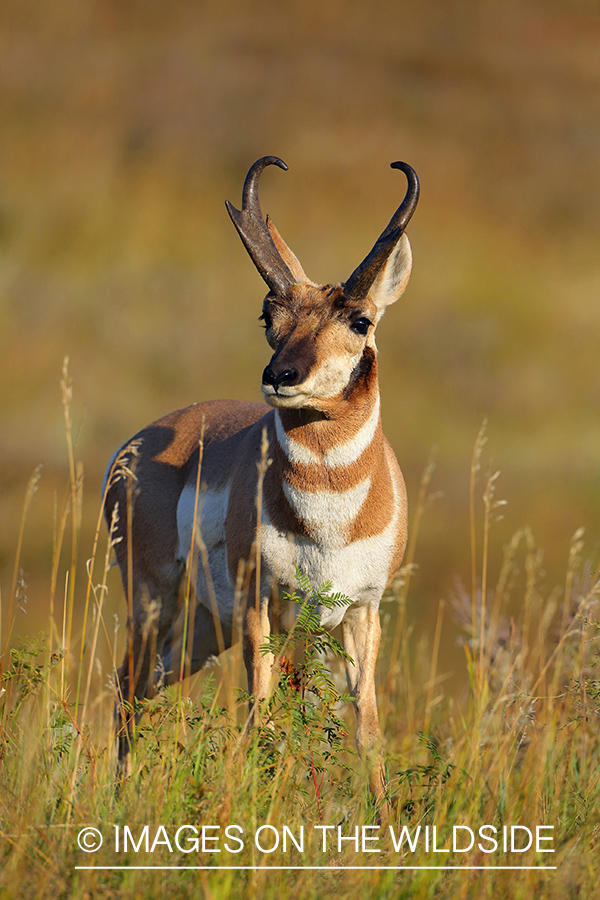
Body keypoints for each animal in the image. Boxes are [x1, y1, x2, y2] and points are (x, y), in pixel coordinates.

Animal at [103, 156, 420, 816]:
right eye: (268, 316)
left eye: (360, 320)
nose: (281, 375)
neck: (328, 516)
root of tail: (141, 440)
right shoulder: (262, 605)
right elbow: (263, 712)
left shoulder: (361, 611)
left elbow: (366, 725)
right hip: (154, 601)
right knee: (126, 689)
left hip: (202, 629)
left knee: (146, 687)